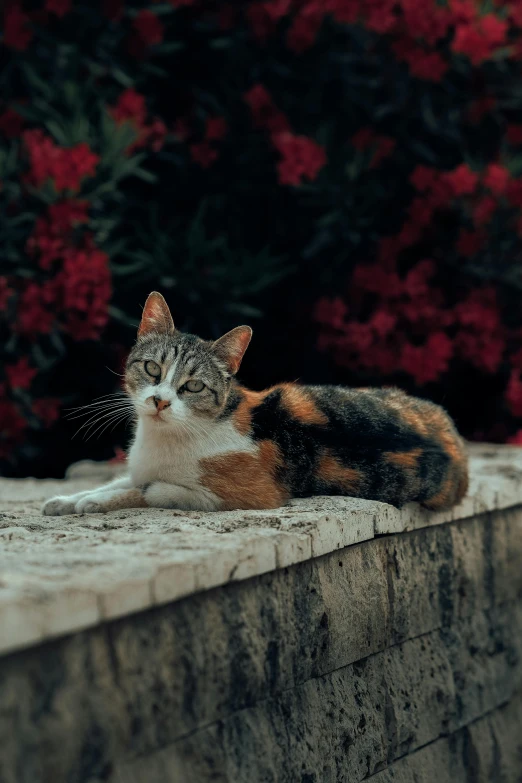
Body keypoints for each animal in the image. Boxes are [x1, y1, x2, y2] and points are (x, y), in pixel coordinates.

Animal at [42, 290, 468, 516]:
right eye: (152, 368)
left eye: (193, 386)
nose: (160, 401)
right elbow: (119, 479)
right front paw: (66, 500)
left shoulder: (243, 495)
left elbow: (151, 491)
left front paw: (94, 501)